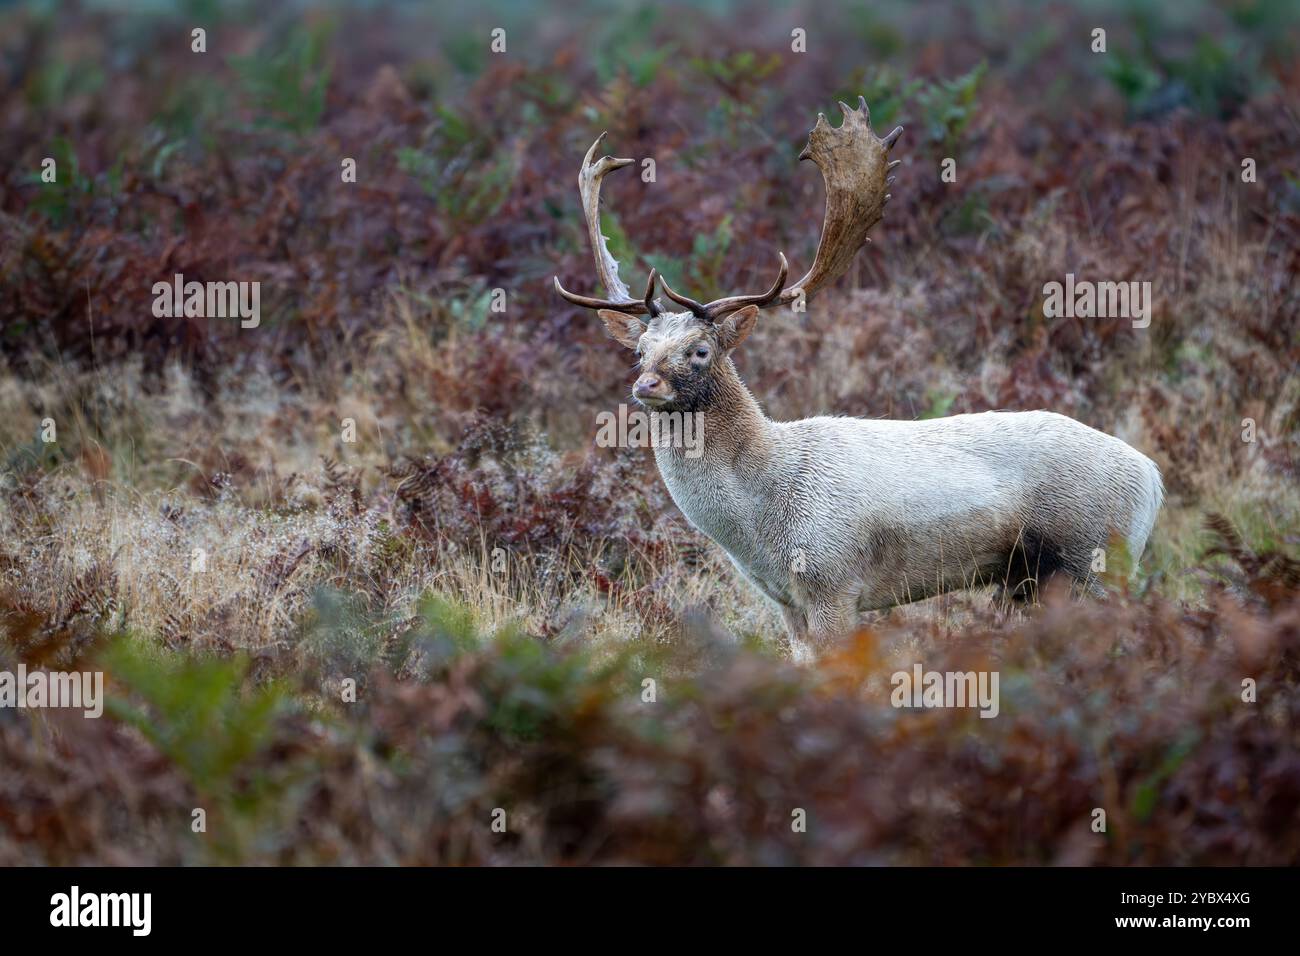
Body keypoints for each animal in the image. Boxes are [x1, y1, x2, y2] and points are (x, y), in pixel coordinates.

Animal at [554, 98, 1164, 655]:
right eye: (640, 351)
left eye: (701, 349)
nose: (646, 386)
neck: (759, 525)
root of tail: (1153, 478)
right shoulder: (786, 604)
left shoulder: (834, 582)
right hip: (1034, 580)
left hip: (1092, 557)